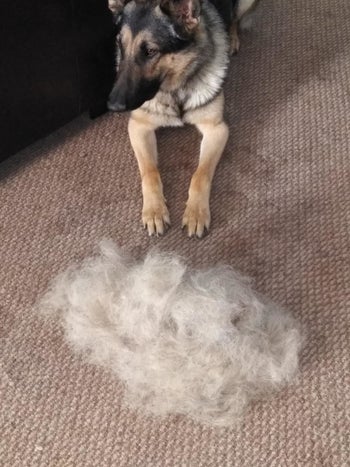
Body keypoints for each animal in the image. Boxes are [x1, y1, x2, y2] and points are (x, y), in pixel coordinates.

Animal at [107, 0, 260, 236]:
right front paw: (154, 211)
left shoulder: (217, 129)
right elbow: (149, 172)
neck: (174, 89)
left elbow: (200, 174)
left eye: (150, 51)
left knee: (234, 19)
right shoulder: (138, 127)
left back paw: (232, 39)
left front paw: (196, 213)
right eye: (120, 46)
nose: (112, 105)